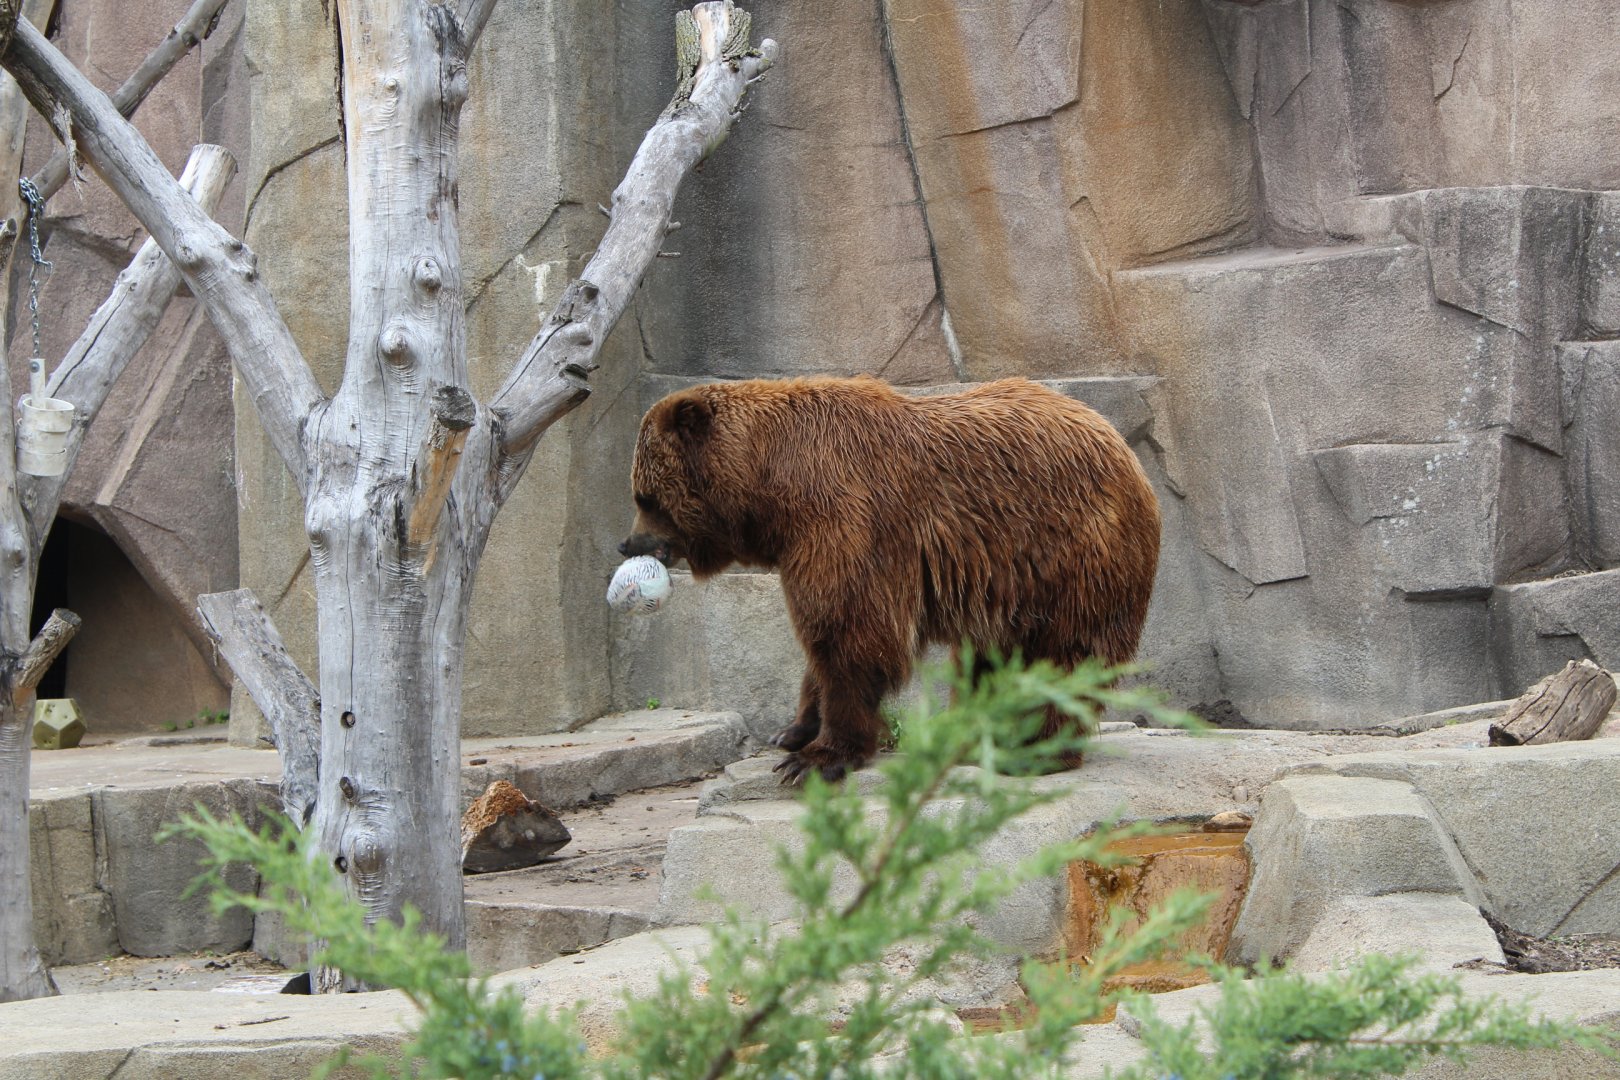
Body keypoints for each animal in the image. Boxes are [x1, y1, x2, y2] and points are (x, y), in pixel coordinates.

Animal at [619, 375, 1161, 783]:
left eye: (645, 496)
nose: (628, 544)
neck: (770, 485)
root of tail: (1125, 450)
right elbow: (826, 637)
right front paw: (792, 730)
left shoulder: (846, 517)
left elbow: (851, 633)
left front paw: (817, 757)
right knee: (992, 658)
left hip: (1071, 556)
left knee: (1063, 656)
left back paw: (1034, 748)